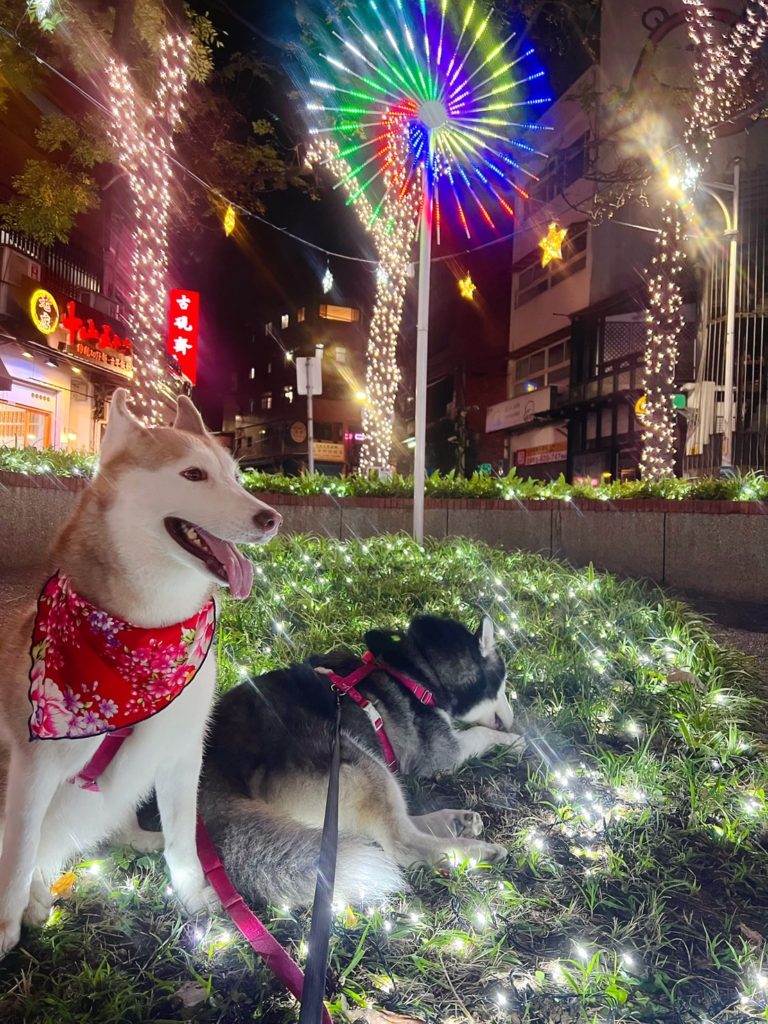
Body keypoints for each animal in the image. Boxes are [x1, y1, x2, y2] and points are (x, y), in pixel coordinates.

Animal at [0, 388, 281, 955]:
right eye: (193, 474)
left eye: (236, 475)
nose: (271, 518)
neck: (147, 636)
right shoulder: (31, 766)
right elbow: (16, 856)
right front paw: (5, 925)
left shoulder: (181, 750)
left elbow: (183, 837)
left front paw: (192, 895)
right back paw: (36, 899)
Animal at [198, 614, 525, 908]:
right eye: (502, 682)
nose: (512, 720)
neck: (415, 673)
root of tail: (218, 770)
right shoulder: (441, 753)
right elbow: (480, 734)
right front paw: (515, 741)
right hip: (356, 762)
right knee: (401, 842)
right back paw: (475, 852)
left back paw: (455, 822)